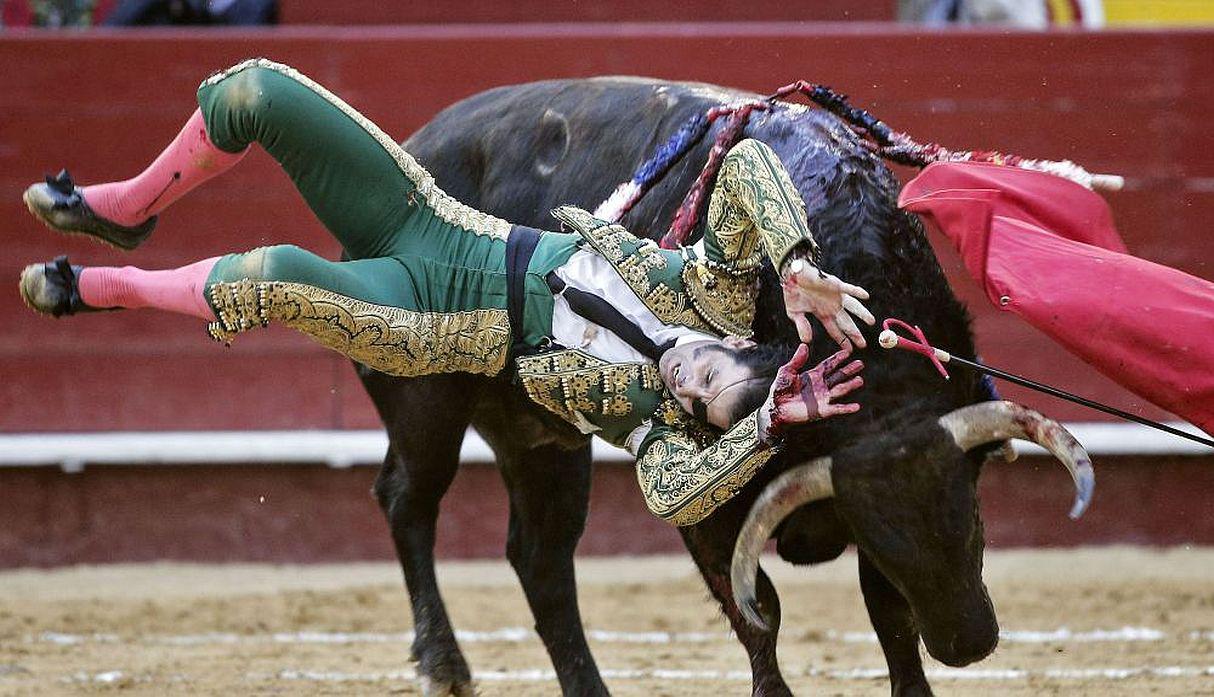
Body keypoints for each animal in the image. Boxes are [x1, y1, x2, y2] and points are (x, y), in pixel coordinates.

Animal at [359, 77, 1092, 697]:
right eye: (887, 537)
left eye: (974, 517)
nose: (969, 643)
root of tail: (419, 143)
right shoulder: (709, 512)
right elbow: (757, 607)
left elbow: (888, 614)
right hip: (425, 400)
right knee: (408, 499)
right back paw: (443, 663)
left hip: (541, 440)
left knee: (541, 557)